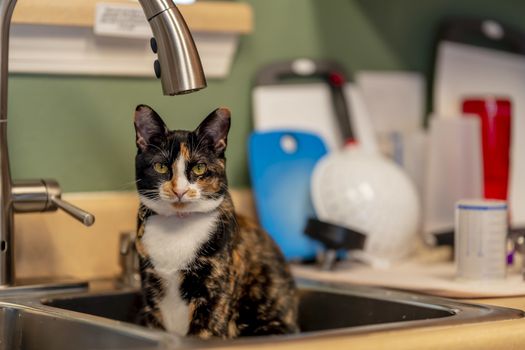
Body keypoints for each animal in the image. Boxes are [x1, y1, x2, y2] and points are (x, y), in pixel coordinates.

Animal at [132, 104, 298, 340]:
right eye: (161, 167)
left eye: (199, 168)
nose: (179, 190)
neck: (177, 226)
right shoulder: (151, 293)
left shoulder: (214, 293)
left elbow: (205, 332)